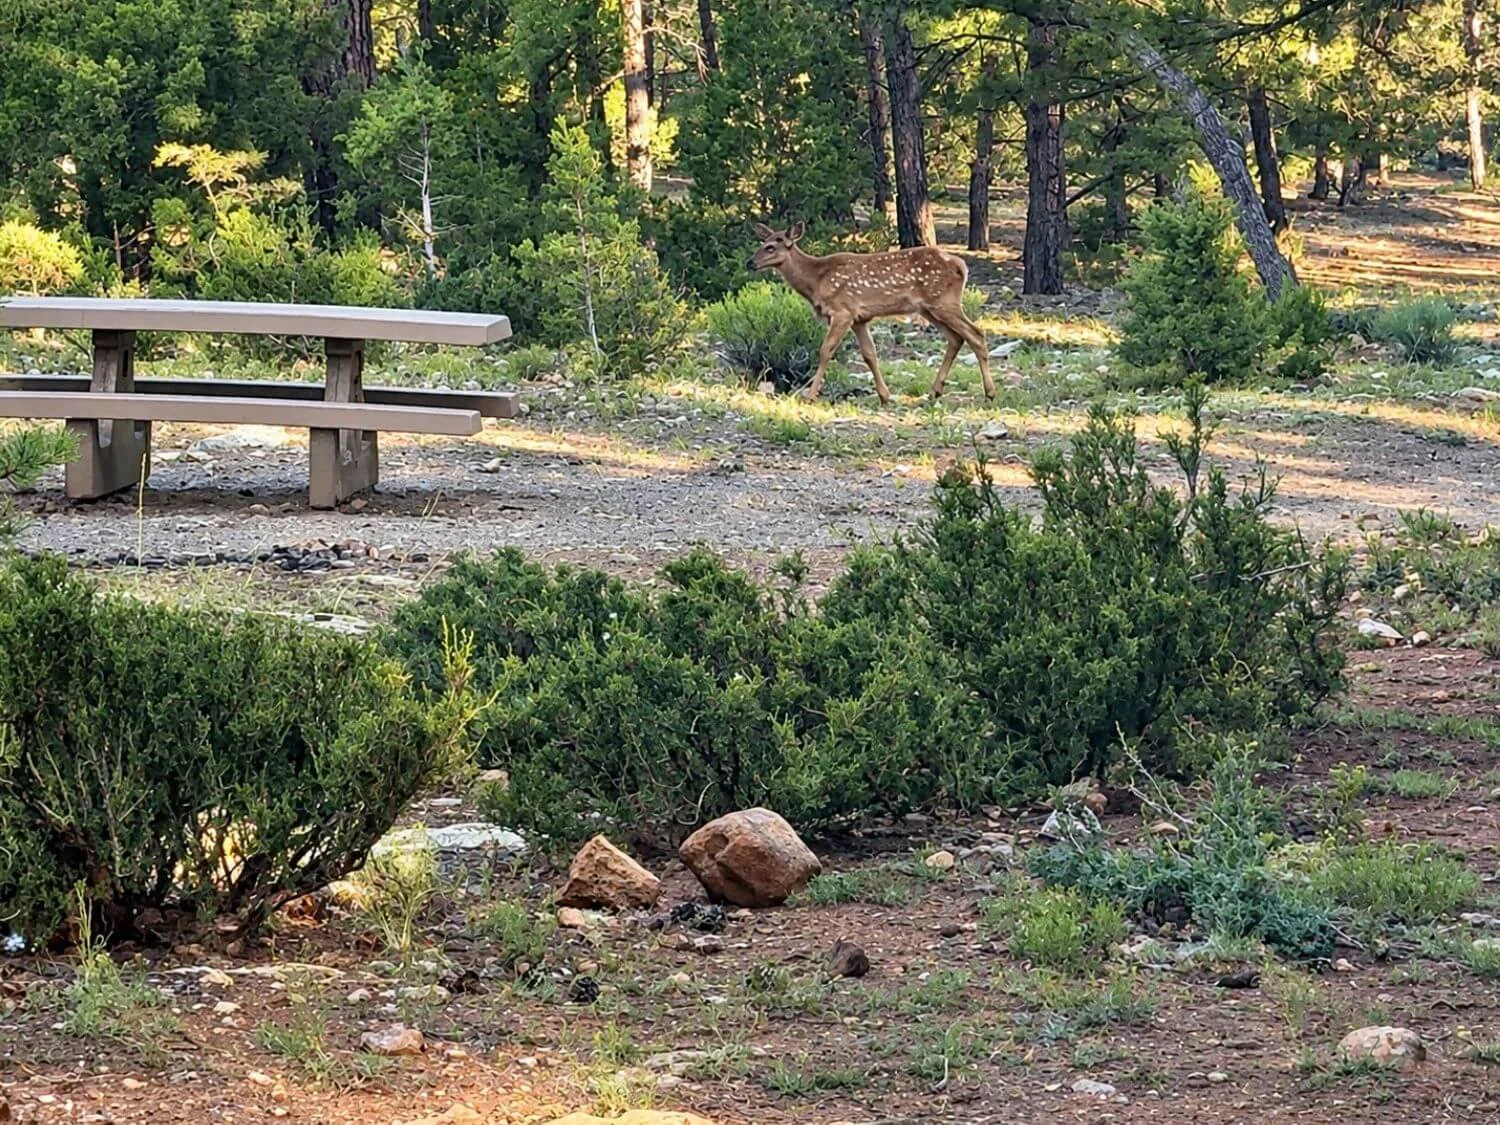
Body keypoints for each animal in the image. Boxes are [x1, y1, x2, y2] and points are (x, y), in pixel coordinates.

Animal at [748, 221, 994, 405]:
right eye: (762, 243)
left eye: (771, 247)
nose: (750, 262)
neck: (816, 280)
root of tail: (962, 266)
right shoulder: (860, 319)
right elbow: (869, 354)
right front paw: (885, 396)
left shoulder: (843, 311)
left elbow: (826, 350)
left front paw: (809, 396)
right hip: (929, 309)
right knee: (956, 338)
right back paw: (935, 391)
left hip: (944, 302)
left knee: (976, 334)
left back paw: (989, 393)